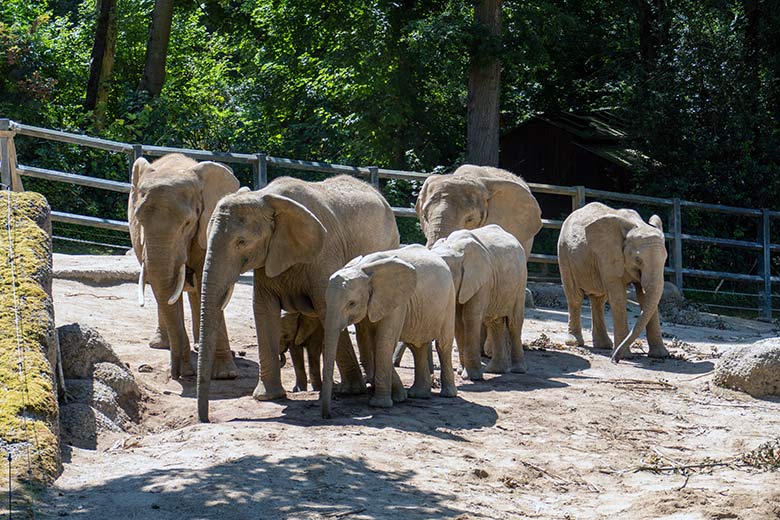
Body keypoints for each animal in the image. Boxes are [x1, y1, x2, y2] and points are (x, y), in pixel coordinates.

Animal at [128, 152, 241, 380]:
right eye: (138, 220)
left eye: (188, 223)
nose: (178, 373)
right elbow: (169, 291)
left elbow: (207, 283)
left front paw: (225, 374)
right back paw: (162, 345)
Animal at [198, 175, 400, 422]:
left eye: (242, 242)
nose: (206, 420)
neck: (266, 197)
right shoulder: (268, 258)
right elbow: (263, 309)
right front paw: (268, 397)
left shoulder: (323, 254)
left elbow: (327, 308)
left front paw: (352, 391)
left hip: (389, 244)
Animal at [322, 244, 458, 418]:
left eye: (351, 303)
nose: (328, 416)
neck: (363, 270)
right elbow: (369, 342)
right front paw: (400, 396)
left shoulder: (397, 302)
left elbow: (383, 341)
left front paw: (380, 404)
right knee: (417, 347)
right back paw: (418, 395)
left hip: (449, 300)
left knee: (443, 345)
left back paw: (448, 394)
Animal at [432, 223, 532, 378]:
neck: (453, 248)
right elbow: (458, 321)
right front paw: (461, 371)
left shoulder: (483, 280)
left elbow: (470, 317)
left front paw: (471, 377)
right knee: (494, 321)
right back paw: (495, 370)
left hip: (520, 281)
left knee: (514, 322)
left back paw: (518, 370)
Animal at [556, 201, 672, 364]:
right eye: (638, 260)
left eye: (665, 259)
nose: (614, 360)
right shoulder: (608, 254)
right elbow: (619, 296)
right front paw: (625, 357)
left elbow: (644, 297)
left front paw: (660, 355)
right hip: (564, 253)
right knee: (575, 297)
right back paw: (574, 343)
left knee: (598, 300)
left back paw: (604, 345)